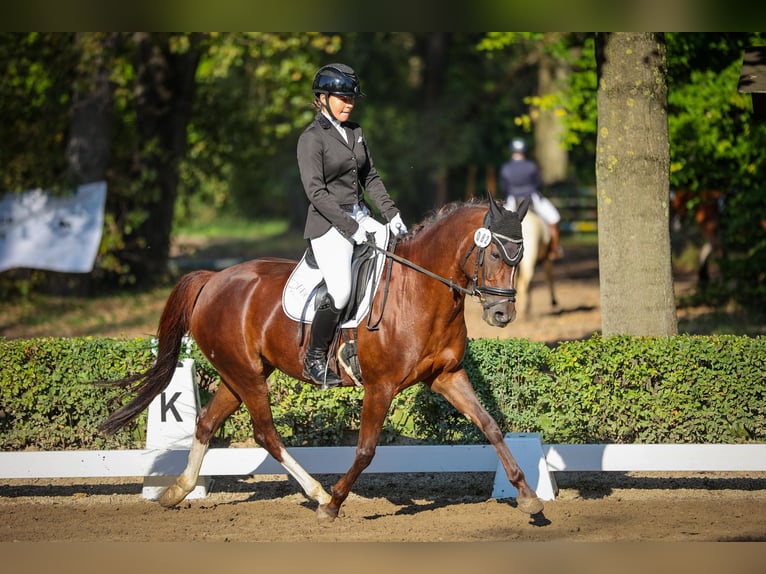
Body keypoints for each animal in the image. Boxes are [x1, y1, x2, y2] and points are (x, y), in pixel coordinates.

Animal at [97, 197, 544, 520]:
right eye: (495, 255)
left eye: (520, 258)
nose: (502, 316)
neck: (421, 292)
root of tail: (213, 279)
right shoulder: (380, 387)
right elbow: (365, 450)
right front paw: (334, 504)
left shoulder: (447, 375)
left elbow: (491, 427)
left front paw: (528, 496)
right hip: (248, 377)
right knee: (266, 434)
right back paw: (317, 493)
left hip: (238, 374)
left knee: (207, 423)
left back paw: (177, 492)